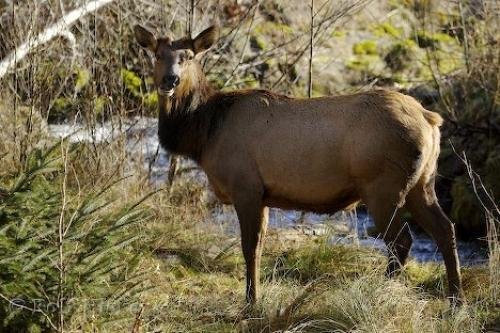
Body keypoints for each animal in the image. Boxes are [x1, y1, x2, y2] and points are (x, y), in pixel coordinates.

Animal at [135, 23, 462, 304]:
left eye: (188, 57)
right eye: (157, 54)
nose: (170, 80)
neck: (204, 134)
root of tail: (431, 120)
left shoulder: (246, 185)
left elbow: (249, 247)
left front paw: (251, 303)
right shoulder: (262, 194)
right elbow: (259, 246)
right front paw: (253, 299)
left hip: (384, 186)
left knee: (402, 241)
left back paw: (383, 291)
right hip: (423, 182)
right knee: (445, 229)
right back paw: (455, 301)